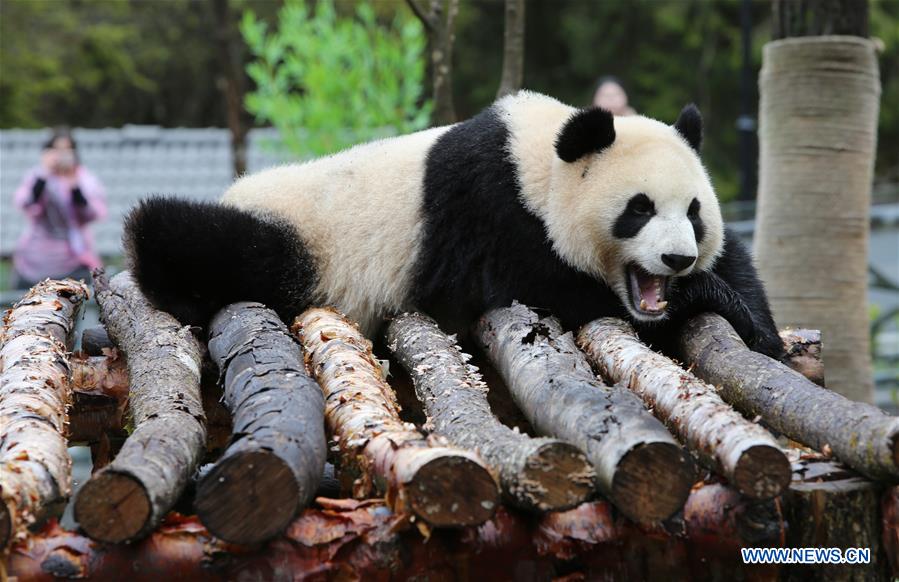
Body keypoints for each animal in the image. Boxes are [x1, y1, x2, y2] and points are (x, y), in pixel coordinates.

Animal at [123, 90, 784, 360]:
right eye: (638, 209)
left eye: (694, 213)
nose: (677, 260)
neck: (535, 161)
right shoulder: (486, 213)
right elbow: (537, 288)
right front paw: (704, 296)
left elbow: (742, 267)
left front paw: (756, 326)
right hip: (293, 234)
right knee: (179, 234)